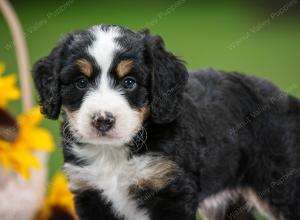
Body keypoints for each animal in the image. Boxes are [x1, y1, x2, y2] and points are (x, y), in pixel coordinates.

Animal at [32, 24, 300, 220]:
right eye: (81, 82)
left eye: (129, 82)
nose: (103, 120)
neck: (114, 155)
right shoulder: (90, 192)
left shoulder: (171, 192)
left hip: (282, 184)